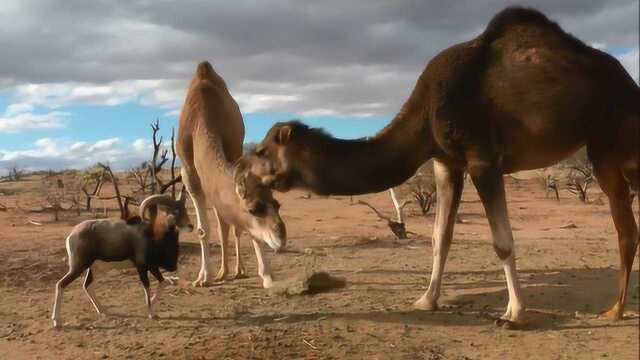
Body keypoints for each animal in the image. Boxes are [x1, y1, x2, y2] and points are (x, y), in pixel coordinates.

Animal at [175, 61, 284, 286]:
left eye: (277, 204)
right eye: (253, 209)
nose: (281, 236)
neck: (201, 118)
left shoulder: (235, 149)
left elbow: (237, 226)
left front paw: (267, 275)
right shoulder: (188, 172)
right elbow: (203, 229)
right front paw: (204, 277)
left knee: (226, 224)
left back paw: (234, 270)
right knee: (221, 224)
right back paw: (219, 273)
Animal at [236, 6, 640, 326]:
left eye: (263, 150)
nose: (240, 175)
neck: (426, 112)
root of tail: (630, 85)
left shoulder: (482, 158)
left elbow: (502, 242)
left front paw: (514, 314)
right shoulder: (447, 162)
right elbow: (439, 238)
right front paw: (426, 300)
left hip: (609, 143)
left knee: (625, 229)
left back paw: (615, 311)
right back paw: (616, 308)